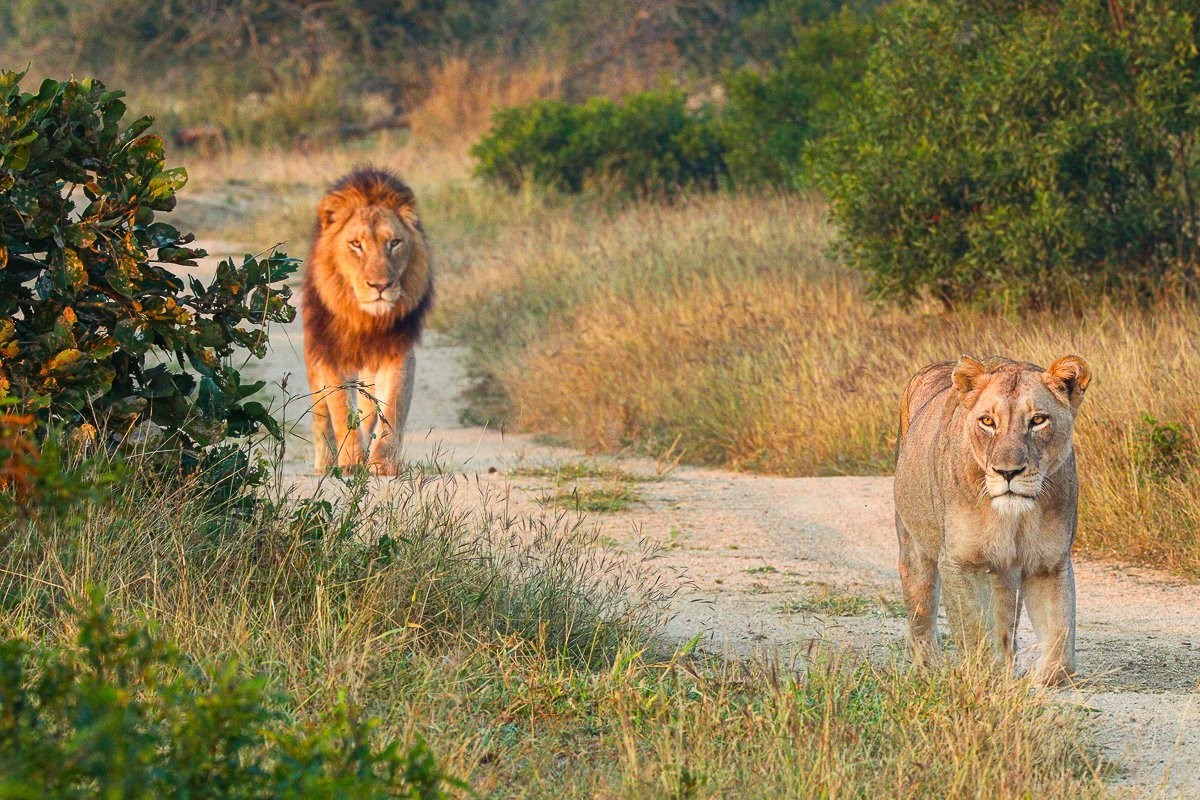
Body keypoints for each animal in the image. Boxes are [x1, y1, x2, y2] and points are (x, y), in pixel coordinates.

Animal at [302, 167, 432, 474]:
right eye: (356, 245)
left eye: (394, 243)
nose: (380, 285)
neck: (366, 319)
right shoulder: (330, 354)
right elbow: (340, 410)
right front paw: (350, 461)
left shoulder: (398, 352)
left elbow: (392, 409)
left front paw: (382, 463)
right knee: (320, 413)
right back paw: (326, 462)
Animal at [894, 354, 1091, 685]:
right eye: (987, 421)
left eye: (1038, 420)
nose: (1007, 472)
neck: (1013, 516)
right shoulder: (959, 562)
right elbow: (975, 633)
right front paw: (985, 676)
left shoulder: (1049, 564)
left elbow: (1061, 650)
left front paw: (1036, 680)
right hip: (913, 546)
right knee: (921, 610)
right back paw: (928, 666)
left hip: (1005, 571)